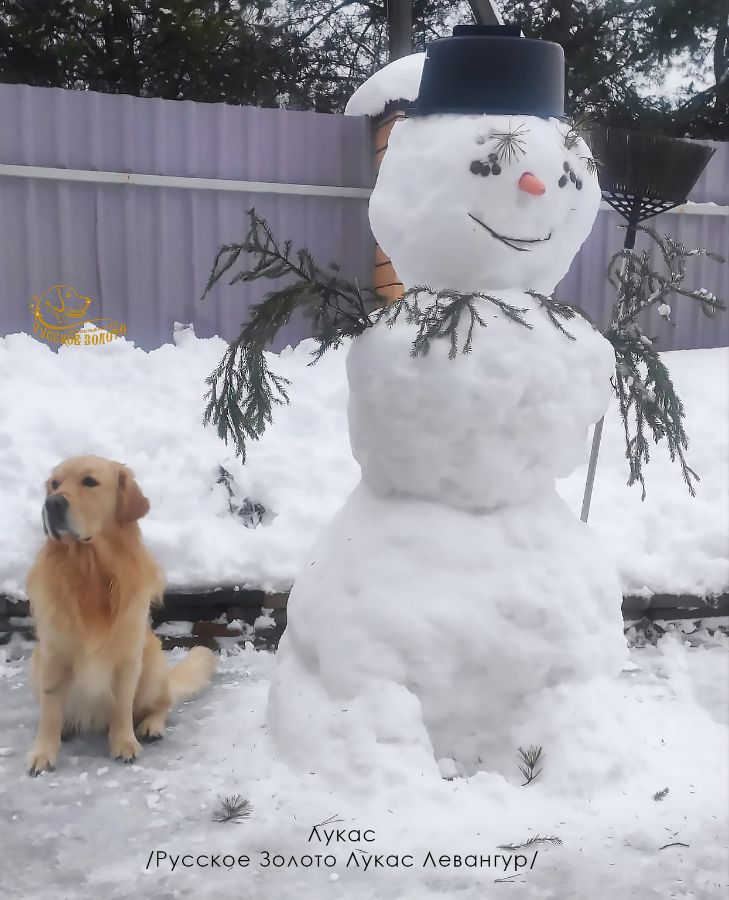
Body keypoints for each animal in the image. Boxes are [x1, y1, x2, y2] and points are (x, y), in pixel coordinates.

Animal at [24, 458, 216, 772]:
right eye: (54, 484)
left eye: (89, 481)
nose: (51, 503)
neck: (90, 569)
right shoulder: (52, 655)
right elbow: (50, 710)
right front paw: (43, 752)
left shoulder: (127, 658)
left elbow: (122, 706)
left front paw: (124, 742)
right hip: (35, 663)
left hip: (151, 663)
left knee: (162, 704)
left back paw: (151, 726)